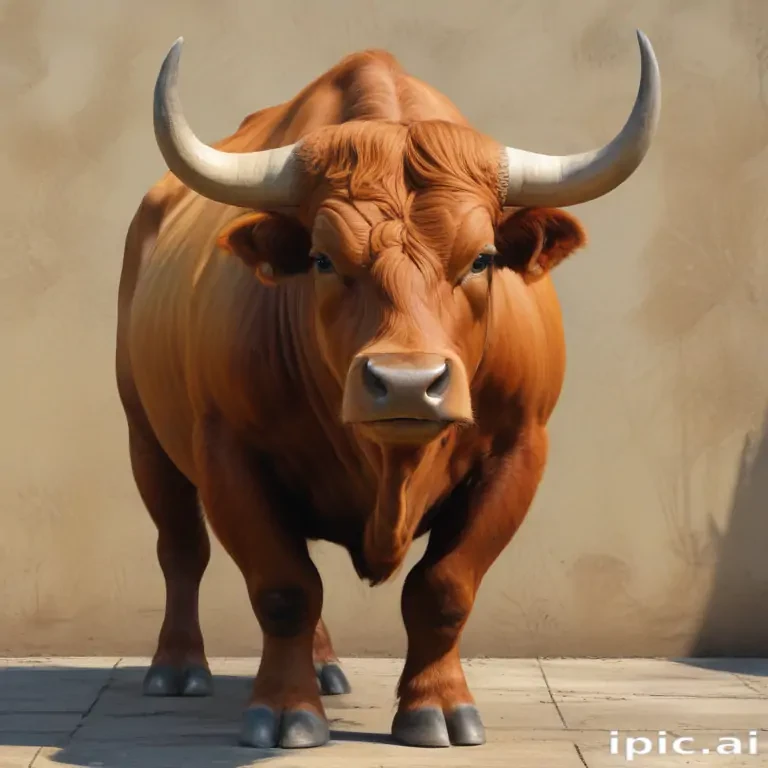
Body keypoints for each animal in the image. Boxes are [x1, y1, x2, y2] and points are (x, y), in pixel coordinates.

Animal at [116, 32, 660, 749]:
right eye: (322, 259)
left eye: (483, 258)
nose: (406, 384)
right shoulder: (227, 452)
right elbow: (283, 588)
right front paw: (287, 711)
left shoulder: (519, 451)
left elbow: (443, 589)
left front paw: (437, 706)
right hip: (145, 437)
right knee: (181, 550)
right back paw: (177, 669)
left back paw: (325, 669)